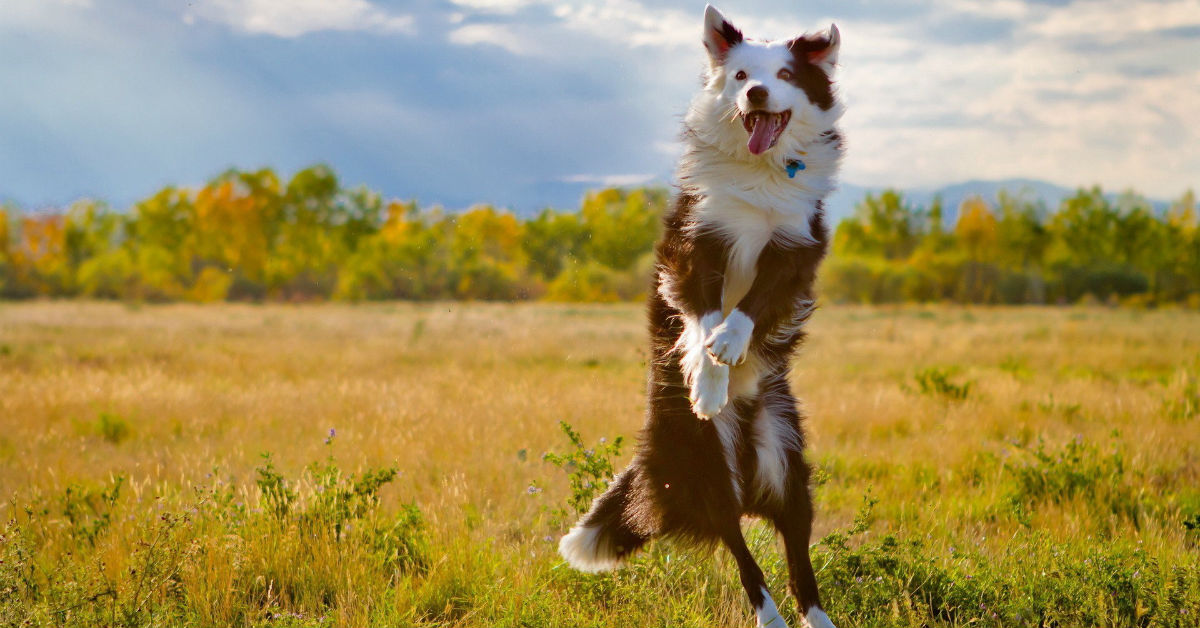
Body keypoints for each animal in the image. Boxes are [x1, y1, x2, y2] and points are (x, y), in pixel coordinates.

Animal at [559, 6, 844, 628]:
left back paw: (817, 617)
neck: (761, 173)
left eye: (785, 74)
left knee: (796, 548)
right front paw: (709, 381)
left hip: (784, 457)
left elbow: (750, 307)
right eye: (739, 75)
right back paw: (768, 615)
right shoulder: (696, 245)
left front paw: (731, 346)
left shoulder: (793, 248)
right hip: (705, 462)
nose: (757, 92)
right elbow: (706, 314)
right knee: (738, 543)